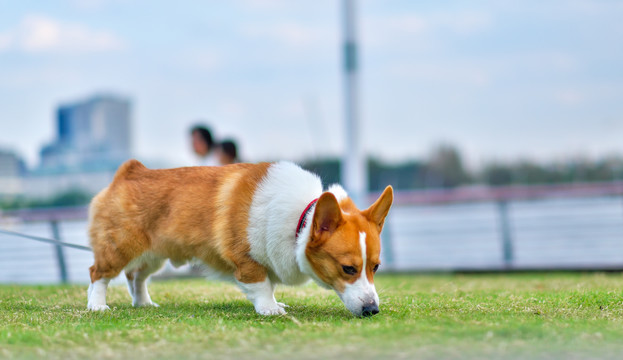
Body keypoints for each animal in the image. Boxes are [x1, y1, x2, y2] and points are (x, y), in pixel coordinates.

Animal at [86, 160, 394, 316]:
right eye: (348, 269)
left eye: (376, 267)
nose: (372, 310)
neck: (302, 219)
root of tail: (128, 172)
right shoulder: (247, 259)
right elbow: (261, 285)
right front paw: (270, 309)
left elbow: (270, 283)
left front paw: (276, 302)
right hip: (122, 247)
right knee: (98, 272)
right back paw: (97, 305)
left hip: (154, 254)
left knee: (136, 275)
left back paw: (143, 303)